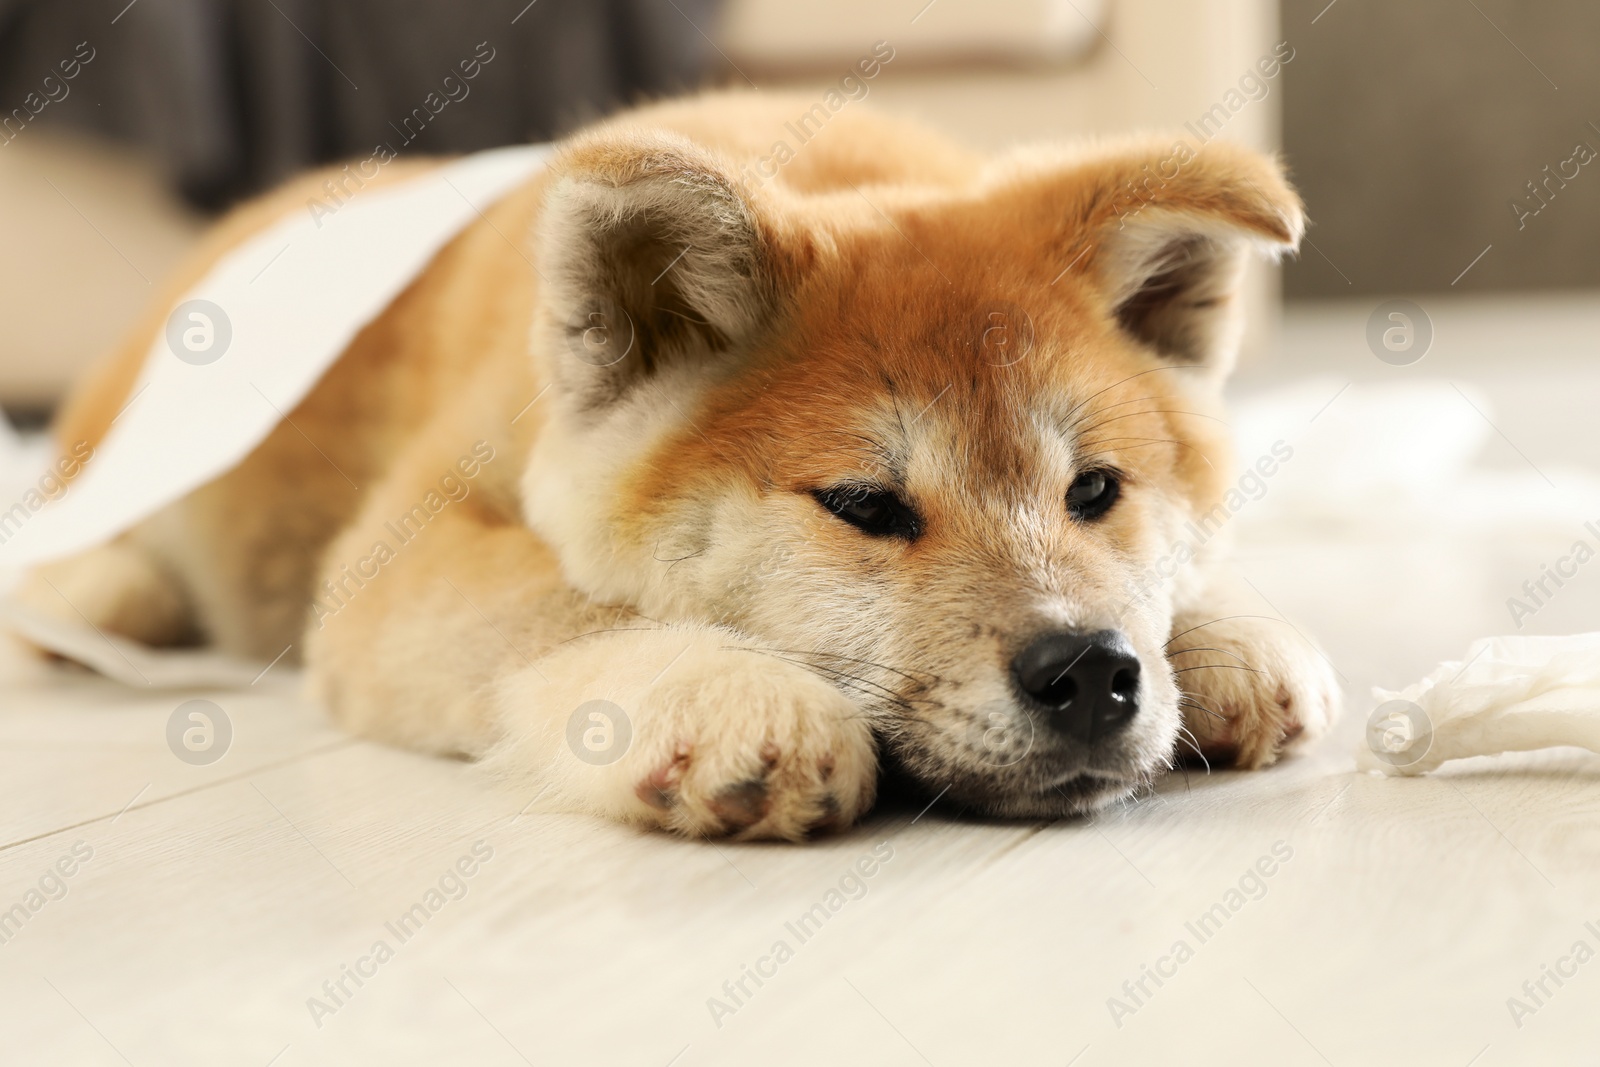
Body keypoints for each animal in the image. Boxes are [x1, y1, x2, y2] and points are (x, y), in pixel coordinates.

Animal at [25, 91, 1337, 838]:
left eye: (1095, 491)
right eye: (864, 504)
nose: (1090, 671)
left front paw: (1223, 630)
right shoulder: (394, 564)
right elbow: (566, 606)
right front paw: (722, 683)